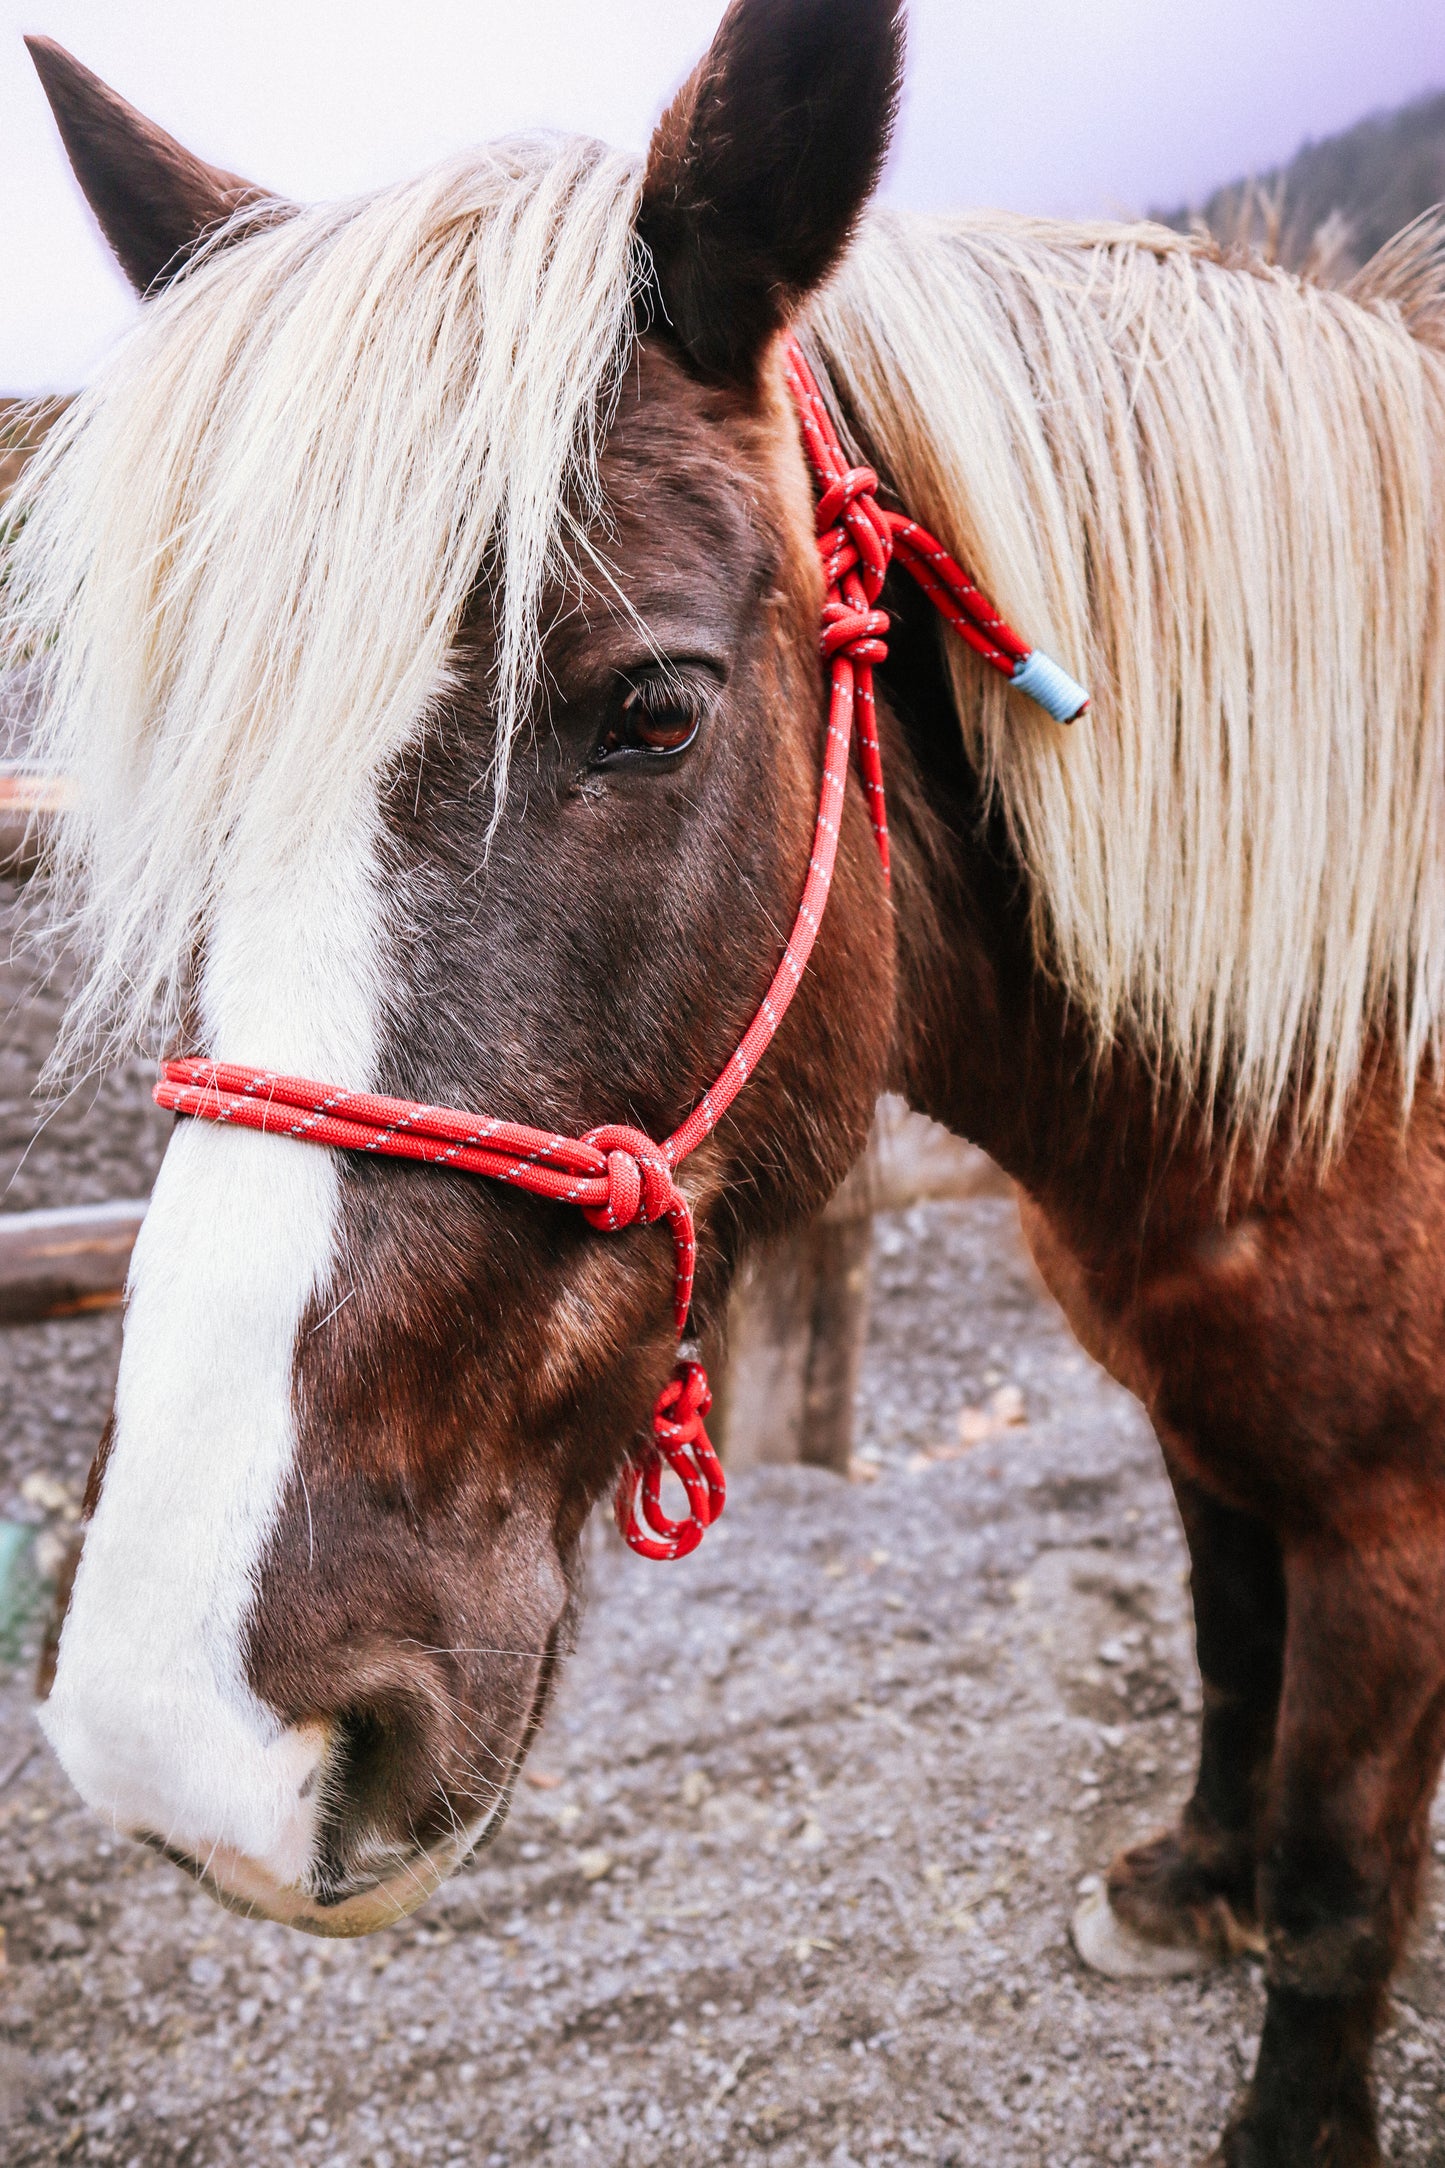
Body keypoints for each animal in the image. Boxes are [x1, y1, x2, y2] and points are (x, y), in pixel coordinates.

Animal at [9, 6, 1445, 2161]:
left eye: (654, 712)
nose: (176, 1727)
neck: (1336, 1046)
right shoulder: (1200, 1406)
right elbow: (1222, 1638)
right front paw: (1194, 1878)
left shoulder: (1388, 1518)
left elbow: (1341, 1871)